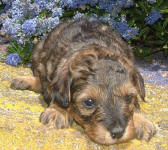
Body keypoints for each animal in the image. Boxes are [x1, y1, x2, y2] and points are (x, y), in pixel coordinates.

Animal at [11, 18, 156, 145]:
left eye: (128, 97)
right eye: (89, 102)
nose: (118, 132)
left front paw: (141, 121)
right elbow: (56, 95)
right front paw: (58, 111)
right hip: (38, 52)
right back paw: (23, 80)